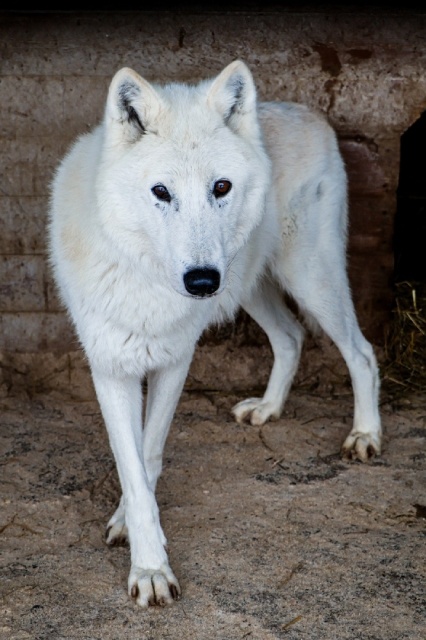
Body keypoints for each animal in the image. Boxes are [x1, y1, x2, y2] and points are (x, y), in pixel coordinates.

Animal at [48, 60, 382, 608]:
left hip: (308, 279)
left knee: (363, 352)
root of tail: (310, 112)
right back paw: (267, 409)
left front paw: (147, 560)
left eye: (220, 188)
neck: (150, 282)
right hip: (250, 287)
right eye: (161, 192)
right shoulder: (111, 367)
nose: (201, 280)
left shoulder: (175, 360)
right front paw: (147, 558)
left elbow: (150, 453)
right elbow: (132, 470)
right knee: (291, 337)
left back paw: (365, 434)